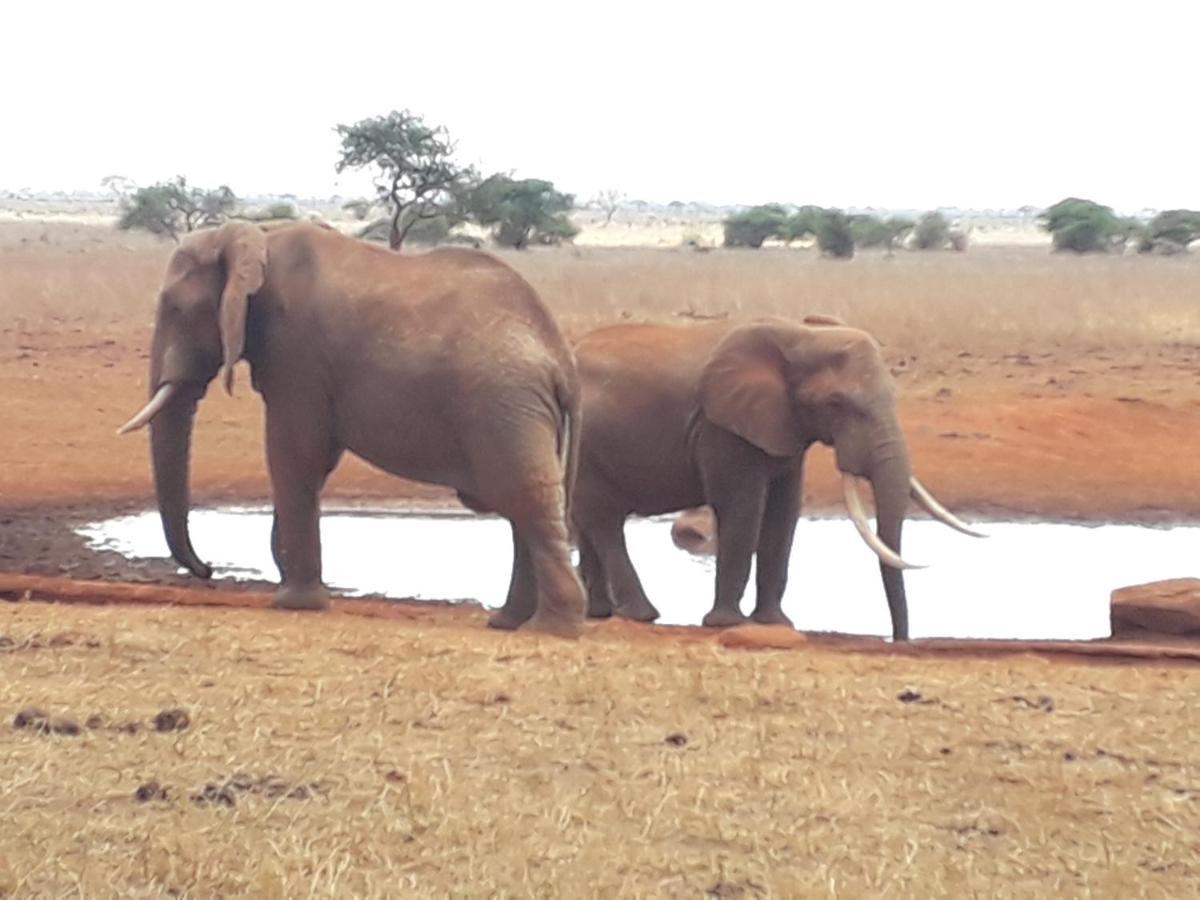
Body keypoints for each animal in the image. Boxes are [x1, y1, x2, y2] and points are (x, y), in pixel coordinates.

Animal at [119, 222, 588, 638]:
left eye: (175, 308)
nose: (208, 569)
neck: (257, 235)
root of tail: (561, 358)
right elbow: (315, 460)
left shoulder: (297, 351)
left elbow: (294, 454)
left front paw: (294, 603)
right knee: (524, 508)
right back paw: (508, 623)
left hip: (505, 406)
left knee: (526, 500)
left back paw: (551, 629)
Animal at [566, 316, 979, 643]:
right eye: (836, 404)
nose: (899, 639)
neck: (801, 336)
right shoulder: (723, 428)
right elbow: (744, 509)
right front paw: (725, 623)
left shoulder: (783, 426)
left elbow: (784, 513)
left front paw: (774, 623)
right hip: (585, 446)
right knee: (605, 522)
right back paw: (641, 614)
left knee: (589, 523)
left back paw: (598, 612)